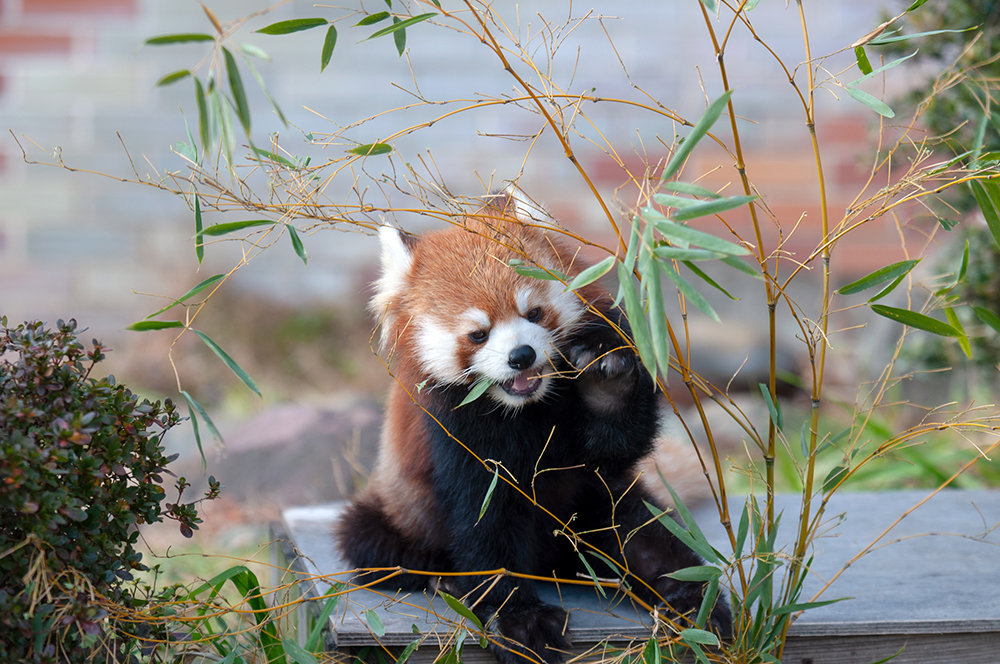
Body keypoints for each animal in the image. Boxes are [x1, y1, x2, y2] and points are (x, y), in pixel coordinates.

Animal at [336, 189, 728, 664]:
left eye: (535, 313)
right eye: (478, 334)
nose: (521, 356)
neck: (525, 408)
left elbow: (613, 446)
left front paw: (606, 383)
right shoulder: (456, 431)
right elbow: (485, 520)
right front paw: (519, 619)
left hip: (597, 507)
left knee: (647, 538)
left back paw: (693, 600)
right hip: (393, 514)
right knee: (375, 546)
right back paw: (447, 581)